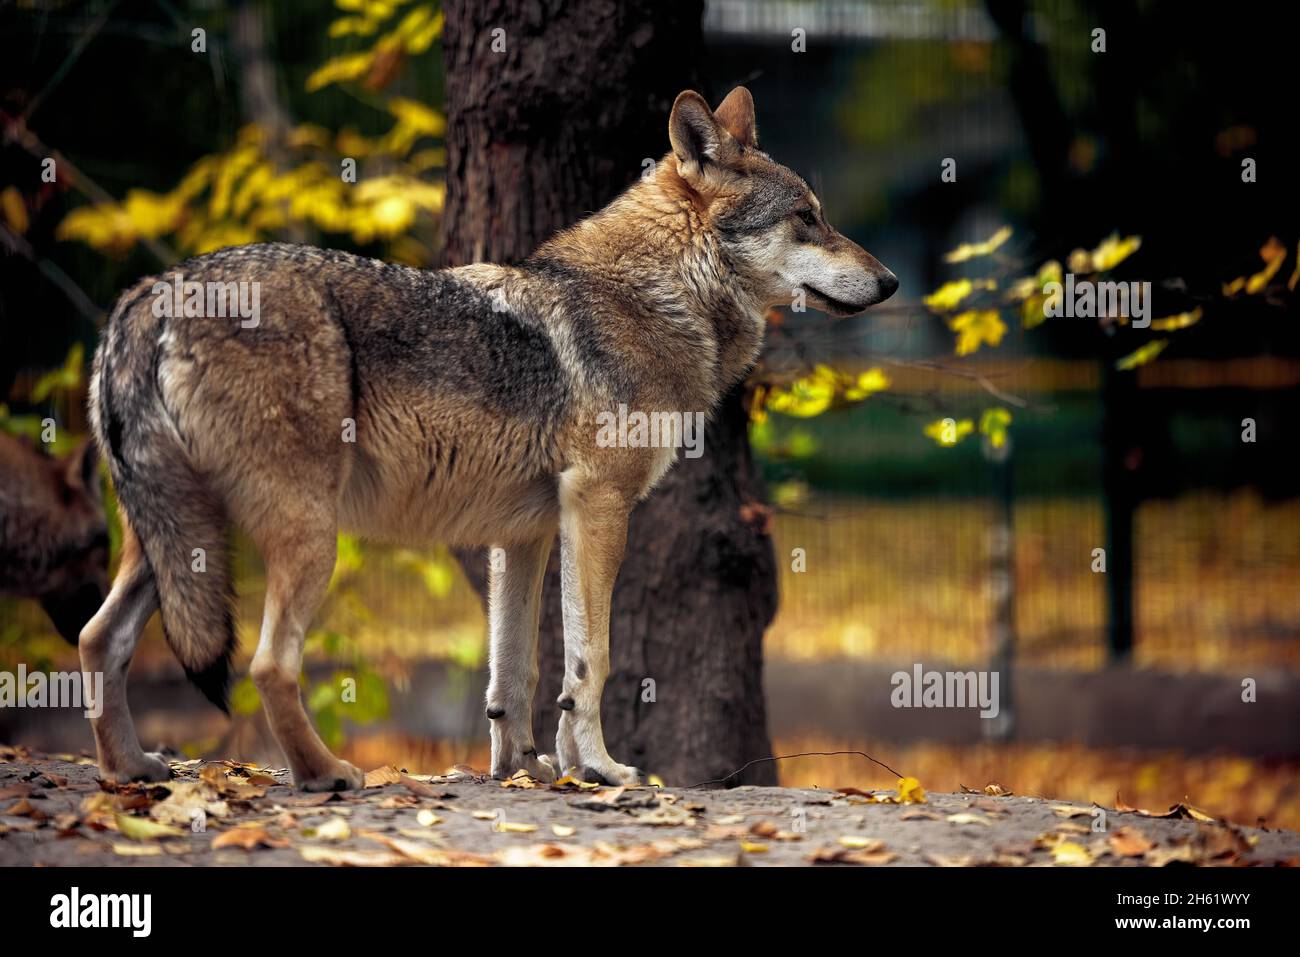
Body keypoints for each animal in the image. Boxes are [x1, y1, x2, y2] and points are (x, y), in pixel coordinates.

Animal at [82, 87, 897, 789]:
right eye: (807, 218)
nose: (890, 281)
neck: (660, 293)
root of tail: (152, 293)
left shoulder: (525, 535)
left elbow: (516, 671)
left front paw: (526, 771)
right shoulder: (597, 506)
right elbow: (592, 659)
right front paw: (601, 769)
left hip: (177, 541)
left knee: (99, 638)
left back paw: (132, 769)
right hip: (305, 537)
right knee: (267, 665)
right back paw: (326, 776)